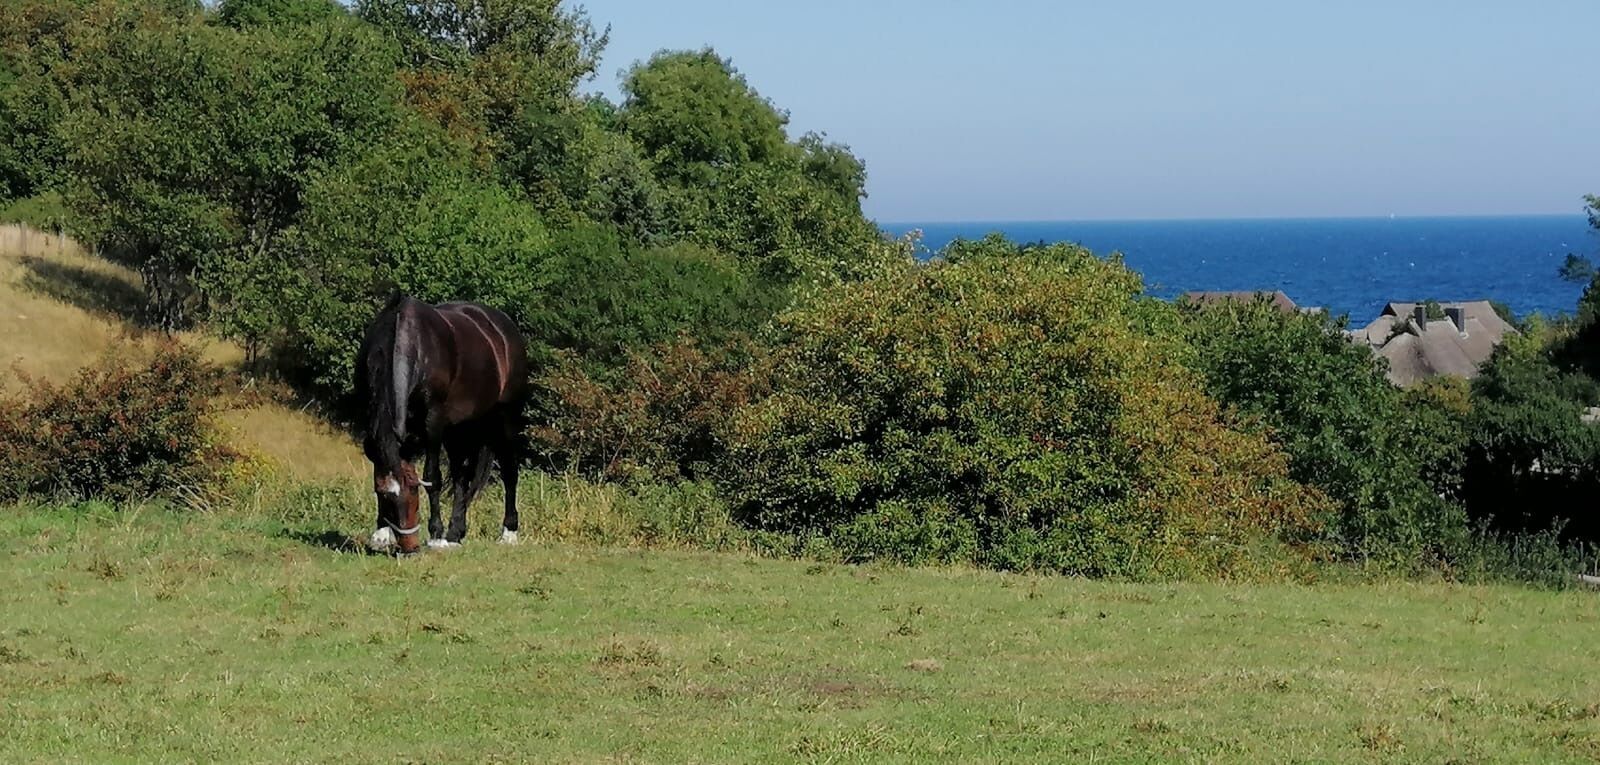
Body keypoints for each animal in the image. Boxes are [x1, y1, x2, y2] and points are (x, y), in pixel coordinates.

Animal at [355, 294, 530, 555]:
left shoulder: (433, 422)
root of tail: (504, 328)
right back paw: (455, 534)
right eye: (385, 497)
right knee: (461, 476)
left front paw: (436, 535)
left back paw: (508, 532)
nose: (410, 547)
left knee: (509, 471)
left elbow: (432, 477)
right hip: (459, 430)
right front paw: (381, 533)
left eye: (414, 493)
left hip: (504, 419)